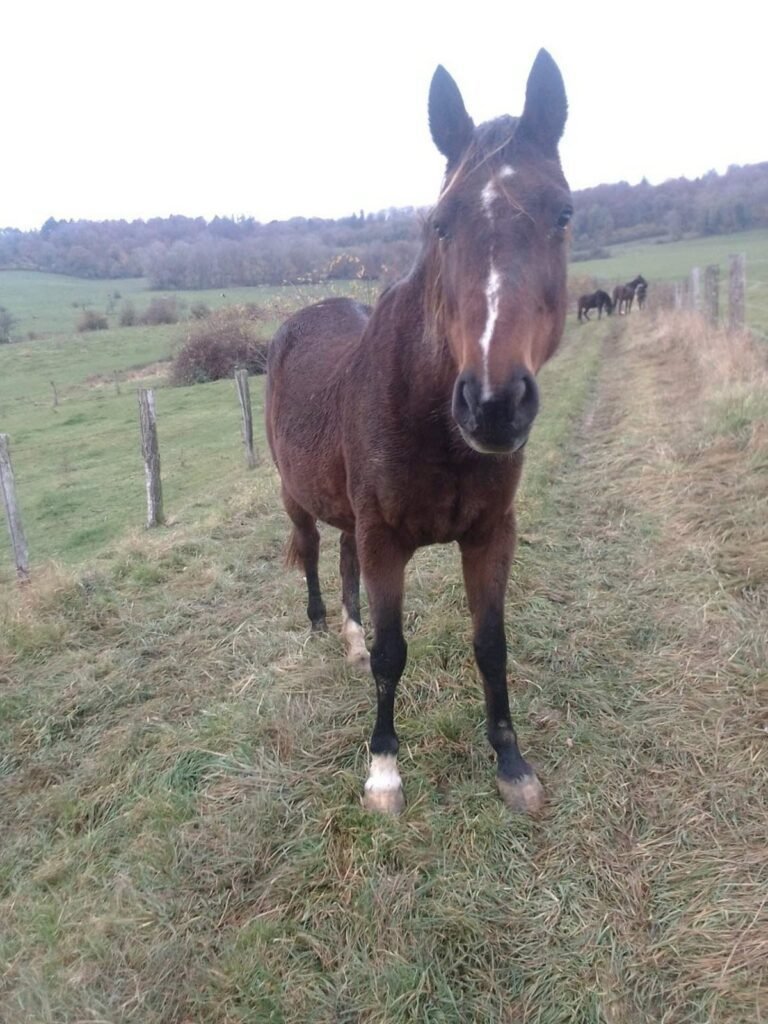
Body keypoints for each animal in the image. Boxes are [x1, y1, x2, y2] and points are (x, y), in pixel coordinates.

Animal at [266, 50, 571, 816]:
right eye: (439, 224)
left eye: (564, 213)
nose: (494, 405)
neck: (430, 422)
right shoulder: (385, 541)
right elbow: (392, 653)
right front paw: (382, 771)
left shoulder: (490, 534)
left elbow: (490, 644)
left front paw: (512, 765)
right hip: (295, 498)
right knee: (314, 553)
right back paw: (323, 625)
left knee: (342, 562)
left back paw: (345, 636)